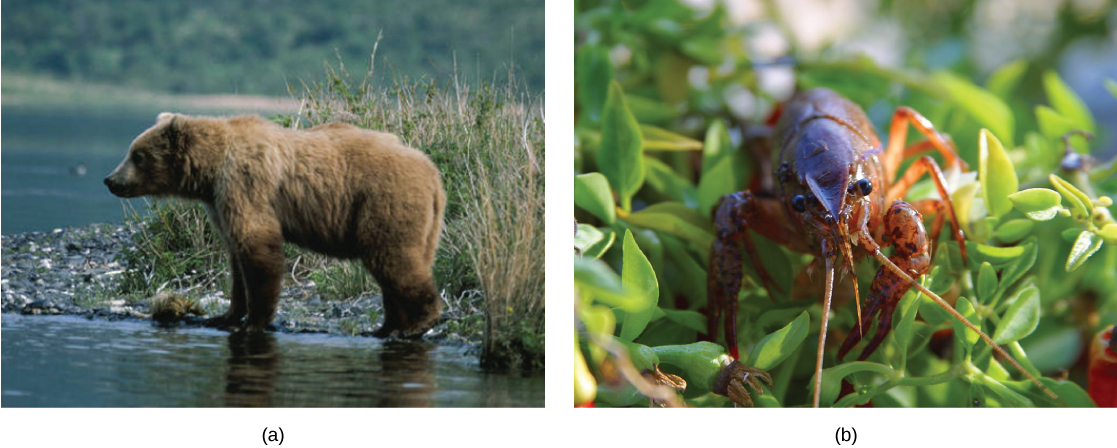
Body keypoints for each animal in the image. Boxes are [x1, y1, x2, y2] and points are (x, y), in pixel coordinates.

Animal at [105, 113, 444, 337]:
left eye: (138, 155)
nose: (110, 180)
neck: (210, 173)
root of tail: (433, 172)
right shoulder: (219, 203)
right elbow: (236, 263)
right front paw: (226, 315)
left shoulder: (245, 184)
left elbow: (257, 248)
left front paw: (254, 321)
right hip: (423, 222)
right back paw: (385, 328)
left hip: (385, 202)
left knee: (393, 259)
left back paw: (419, 322)